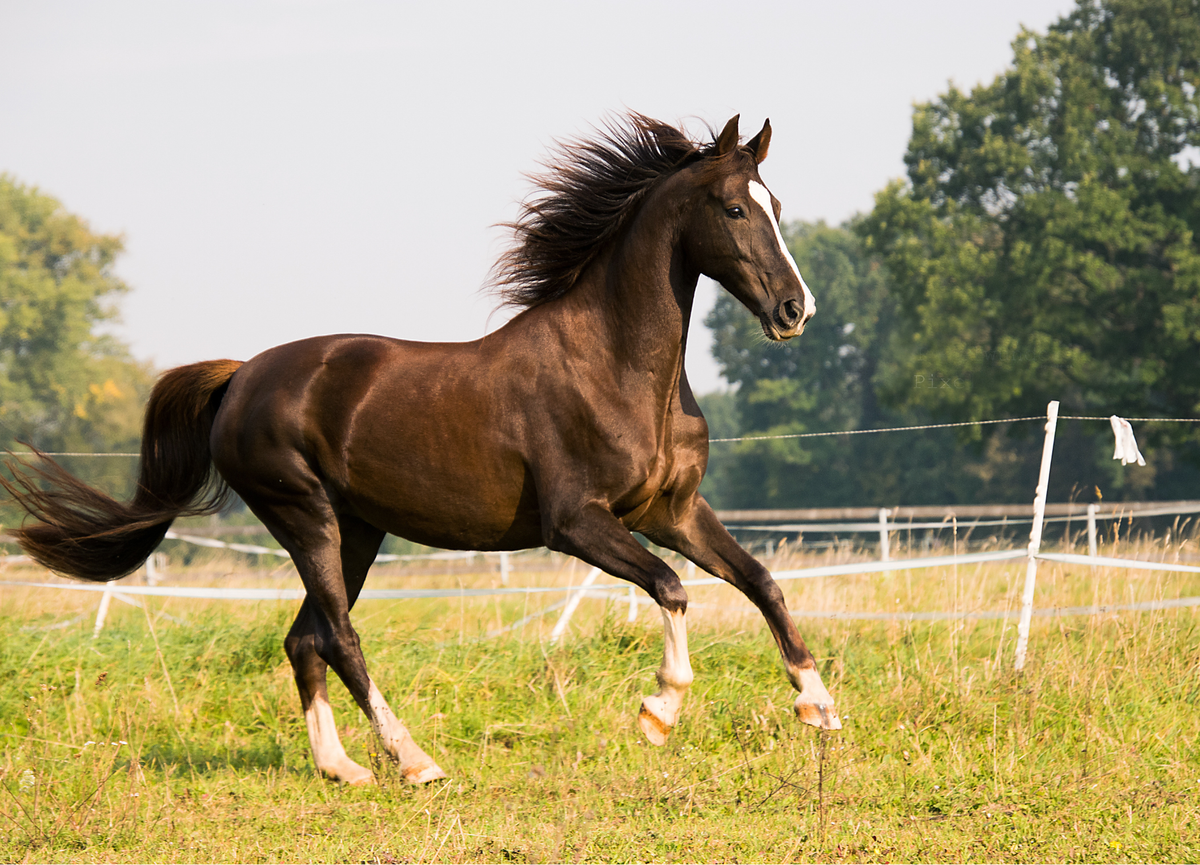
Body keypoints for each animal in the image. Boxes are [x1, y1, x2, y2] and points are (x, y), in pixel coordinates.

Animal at [3, 113, 840, 785]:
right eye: (734, 207)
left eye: (776, 206)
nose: (794, 310)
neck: (616, 368)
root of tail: (241, 376)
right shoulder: (577, 522)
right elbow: (671, 587)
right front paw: (659, 710)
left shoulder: (672, 510)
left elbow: (761, 580)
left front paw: (819, 704)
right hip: (304, 514)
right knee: (338, 635)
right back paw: (415, 761)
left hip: (357, 528)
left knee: (304, 638)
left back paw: (342, 768)